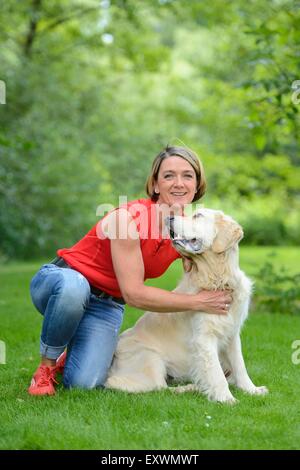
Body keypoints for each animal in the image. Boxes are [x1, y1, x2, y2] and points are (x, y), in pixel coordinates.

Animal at [105, 209, 268, 404]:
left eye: (198, 215)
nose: (168, 218)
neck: (217, 279)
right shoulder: (204, 337)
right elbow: (216, 373)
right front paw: (226, 398)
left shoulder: (232, 334)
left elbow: (239, 365)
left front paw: (252, 390)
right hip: (151, 358)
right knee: (160, 388)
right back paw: (192, 388)